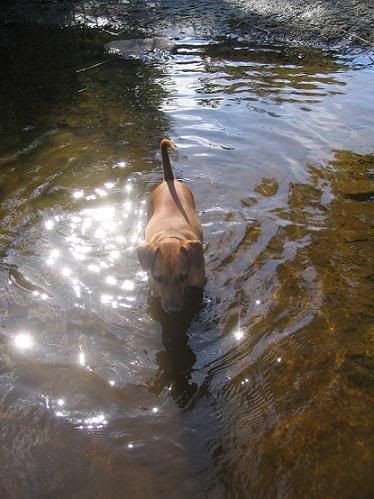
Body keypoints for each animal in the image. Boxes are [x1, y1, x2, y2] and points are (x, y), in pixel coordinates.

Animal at [137, 139, 206, 314]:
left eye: (183, 276)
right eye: (158, 277)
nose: (172, 310)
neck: (170, 236)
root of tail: (169, 180)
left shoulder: (199, 283)